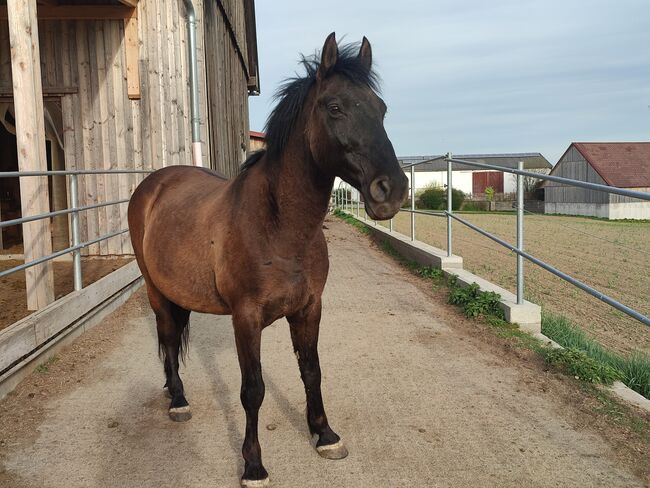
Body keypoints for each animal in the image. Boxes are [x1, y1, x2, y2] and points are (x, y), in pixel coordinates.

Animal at [126, 32, 404, 486]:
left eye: (381, 109)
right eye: (335, 107)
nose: (392, 190)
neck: (279, 228)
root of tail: (154, 184)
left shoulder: (309, 308)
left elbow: (312, 371)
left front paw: (325, 435)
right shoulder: (247, 317)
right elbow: (252, 390)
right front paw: (253, 465)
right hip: (155, 289)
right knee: (167, 337)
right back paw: (179, 400)